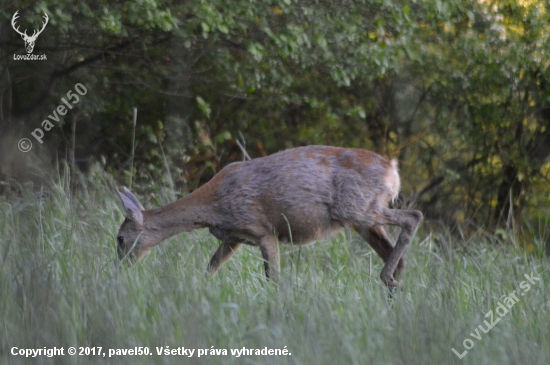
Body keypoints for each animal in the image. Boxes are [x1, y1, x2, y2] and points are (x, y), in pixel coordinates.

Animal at [116, 145, 424, 288]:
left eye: (119, 238)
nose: (119, 267)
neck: (213, 207)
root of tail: (392, 169)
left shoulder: (263, 230)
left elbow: (273, 279)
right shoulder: (234, 238)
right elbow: (210, 269)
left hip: (357, 208)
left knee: (414, 215)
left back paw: (386, 278)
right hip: (363, 220)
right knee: (396, 254)